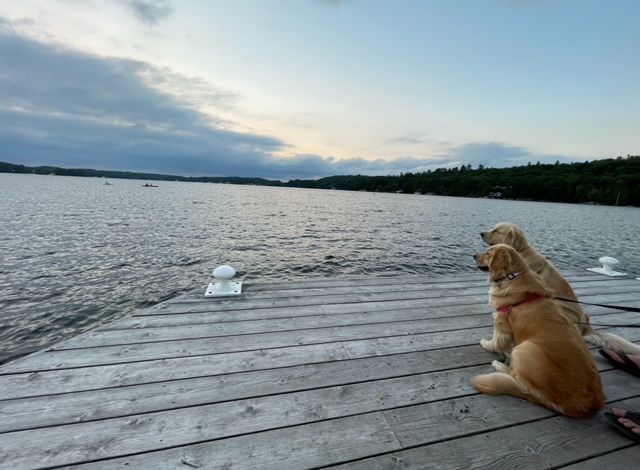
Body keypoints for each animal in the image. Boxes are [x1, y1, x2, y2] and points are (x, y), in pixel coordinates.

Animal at [471, 244, 605, 418]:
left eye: (488, 253)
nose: (473, 255)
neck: (511, 277)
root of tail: (584, 407)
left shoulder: (500, 320)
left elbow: (496, 341)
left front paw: (486, 344)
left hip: (524, 348)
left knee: (515, 377)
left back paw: (499, 366)